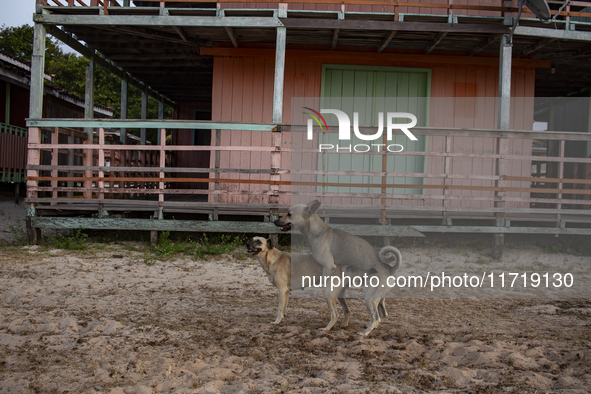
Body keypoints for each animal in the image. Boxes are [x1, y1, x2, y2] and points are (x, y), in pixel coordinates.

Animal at [278, 200, 402, 336]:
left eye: (289, 214)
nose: (276, 220)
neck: (319, 232)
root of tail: (389, 268)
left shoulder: (328, 266)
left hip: (369, 298)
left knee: (376, 318)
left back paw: (365, 333)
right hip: (378, 298)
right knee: (382, 314)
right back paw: (370, 327)